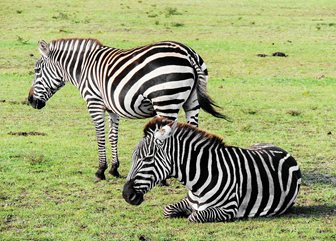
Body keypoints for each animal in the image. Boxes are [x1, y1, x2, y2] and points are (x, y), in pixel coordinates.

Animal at [26, 38, 226, 181]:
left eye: (36, 70)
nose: (30, 101)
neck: (82, 68)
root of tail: (187, 52)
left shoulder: (94, 102)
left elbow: (100, 136)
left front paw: (101, 170)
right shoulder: (112, 108)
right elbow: (113, 136)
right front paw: (114, 168)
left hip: (165, 101)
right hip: (192, 101)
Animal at [123, 118, 302, 222]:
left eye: (147, 158)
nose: (126, 195)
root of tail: (278, 147)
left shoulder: (228, 209)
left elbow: (194, 216)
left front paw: (187, 215)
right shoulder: (189, 201)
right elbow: (167, 209)